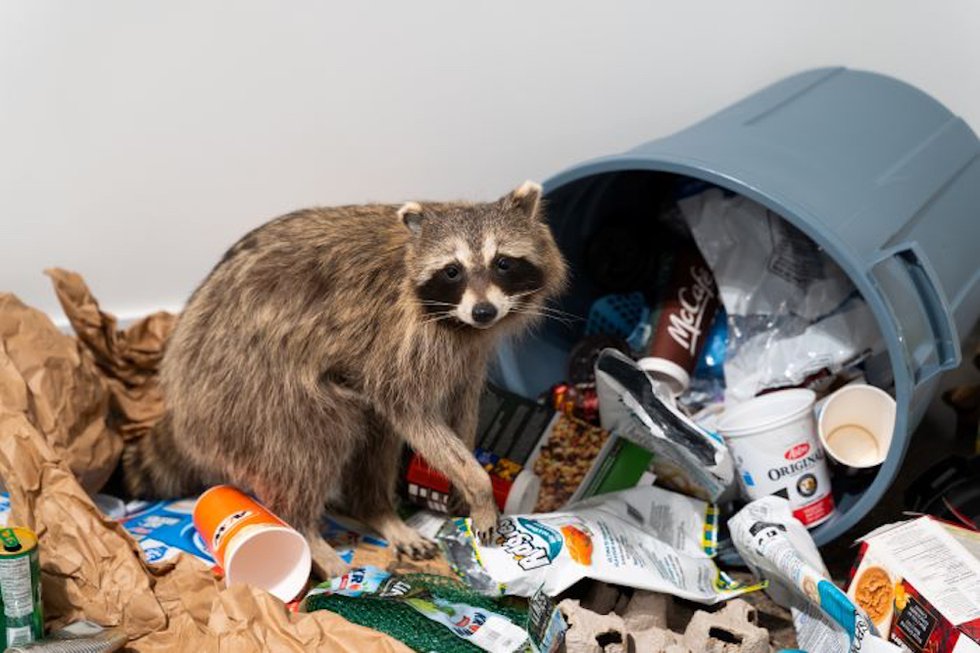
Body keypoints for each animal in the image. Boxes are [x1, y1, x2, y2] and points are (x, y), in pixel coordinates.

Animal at [122, 180, 568, 576]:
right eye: (452, 271)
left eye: (503, 263)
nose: (483, 312)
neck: (457, 323)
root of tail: (178, 396)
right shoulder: (395, 339)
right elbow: (408, 413)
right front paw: (477, 484)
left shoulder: (469, 352)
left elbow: (461, 406)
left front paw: (464, 481)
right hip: (248, 387)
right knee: (312, 440)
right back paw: (307, 531)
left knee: (372, 433)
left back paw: (376, 510)